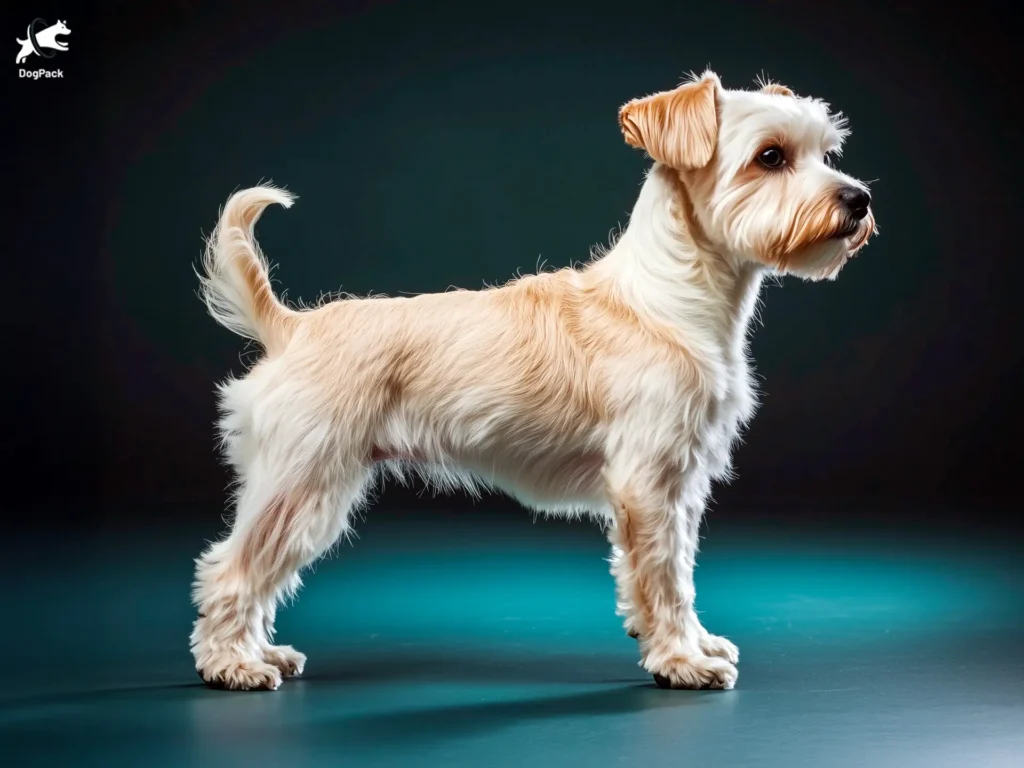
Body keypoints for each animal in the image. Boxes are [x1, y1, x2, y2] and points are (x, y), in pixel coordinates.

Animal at [190, 72, 872, 696]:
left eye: (826, 152)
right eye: (770, 157)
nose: (859, 199)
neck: (666, 299)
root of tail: (293, 328)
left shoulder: (681, 486)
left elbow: (679, 567)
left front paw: (694, 643)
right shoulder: (648, 484)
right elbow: (663, 579)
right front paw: (682, 660)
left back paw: (262, 653)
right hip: (302, 486)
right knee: (232, 569)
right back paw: (233, 665)